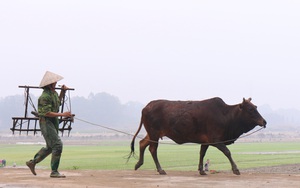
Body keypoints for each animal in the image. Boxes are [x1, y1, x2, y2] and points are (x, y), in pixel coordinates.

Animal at [130, 97, 266, 176]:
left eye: (255, 107)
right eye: (250, 109)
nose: (264, 122)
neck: (226, 115)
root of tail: (146, 107)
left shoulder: (205, 141)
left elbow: (202, 154)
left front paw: (201, 170)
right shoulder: (215, 140)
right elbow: (227, 152)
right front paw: (236, 169)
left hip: (153, 134)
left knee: (142, 143)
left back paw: (138, 164)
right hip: (154, 134)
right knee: (152, 149)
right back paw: (160, 169)